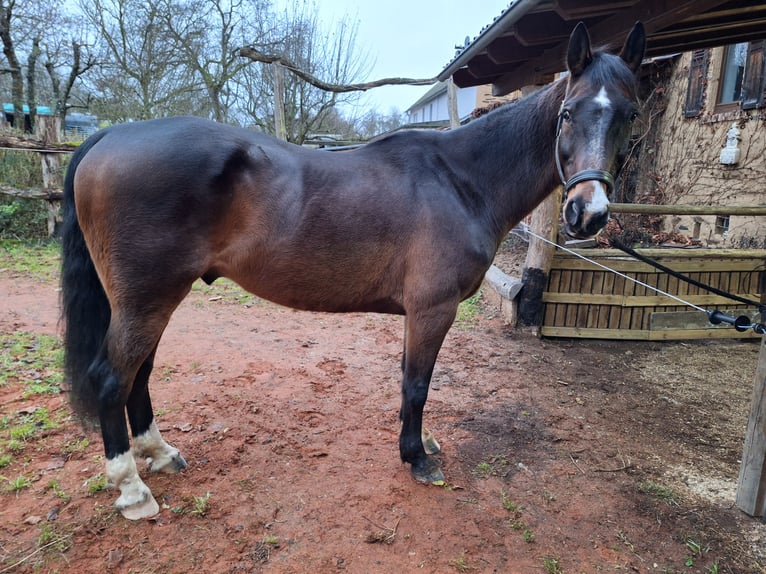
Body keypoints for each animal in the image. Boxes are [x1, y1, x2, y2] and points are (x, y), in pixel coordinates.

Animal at [61, 21, 646, 520]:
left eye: (630, 115)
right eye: (568, 113)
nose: (589, 214)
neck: (461, 180)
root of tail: (109, 138)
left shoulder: (420, 312)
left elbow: (412, 380)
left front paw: (420, 443)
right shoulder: (432, 309)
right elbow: (417, 383)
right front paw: (418, 458)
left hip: (152, 299)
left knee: (139, 375)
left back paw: (160, 455)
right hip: (146, 299)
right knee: (113, 378)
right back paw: (133, 490)